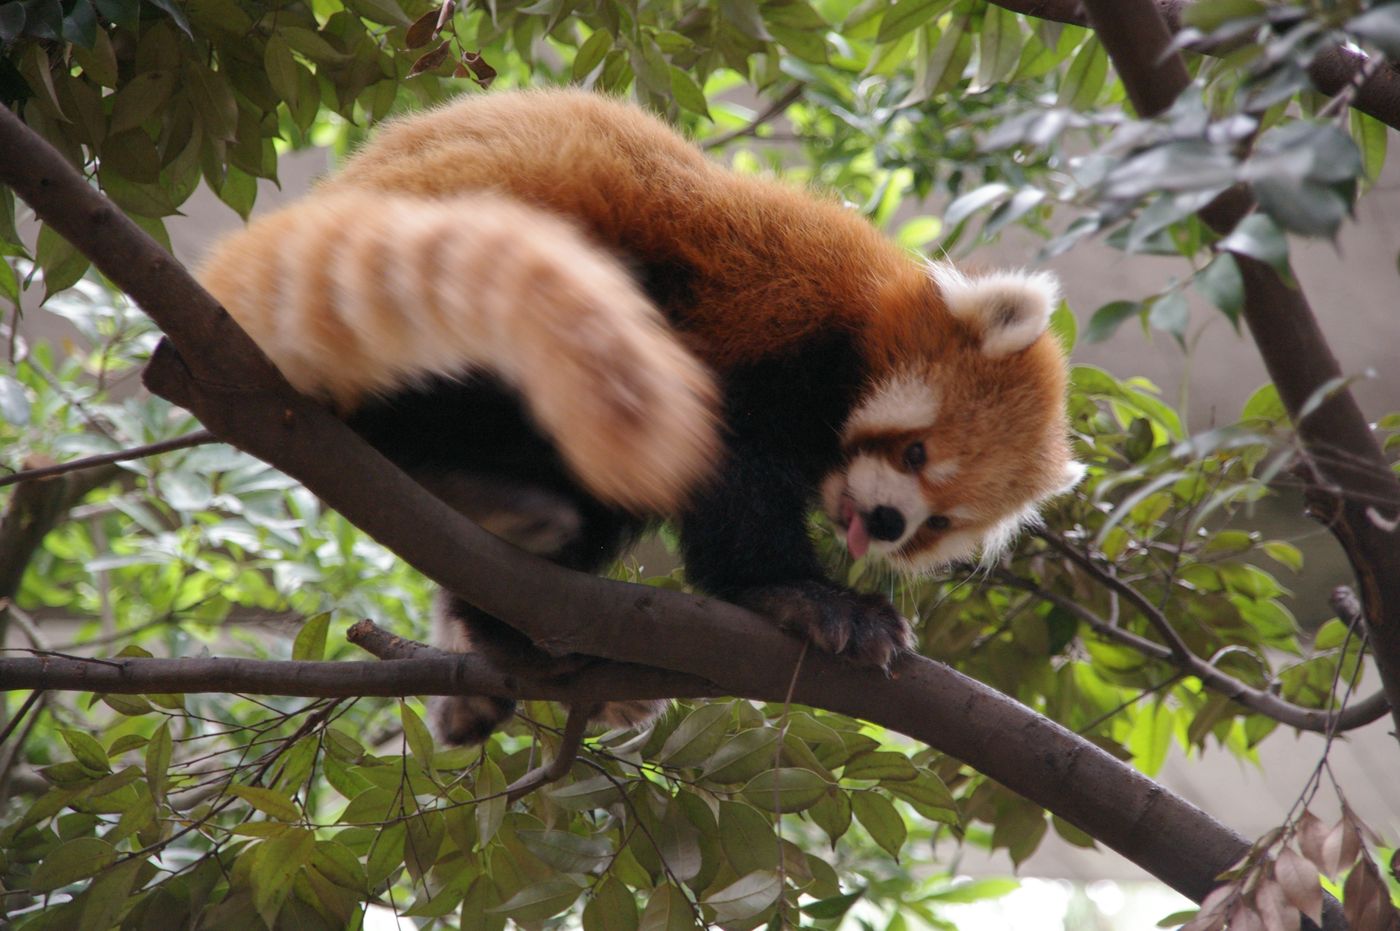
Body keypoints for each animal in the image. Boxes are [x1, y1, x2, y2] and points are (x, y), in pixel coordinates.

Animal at [197, 88, 1081, 743]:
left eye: (941, 521)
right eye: (916, 453)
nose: (890, 522)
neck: (859, 329)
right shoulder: (772, 322)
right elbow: (735, 485)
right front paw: (805, 596)